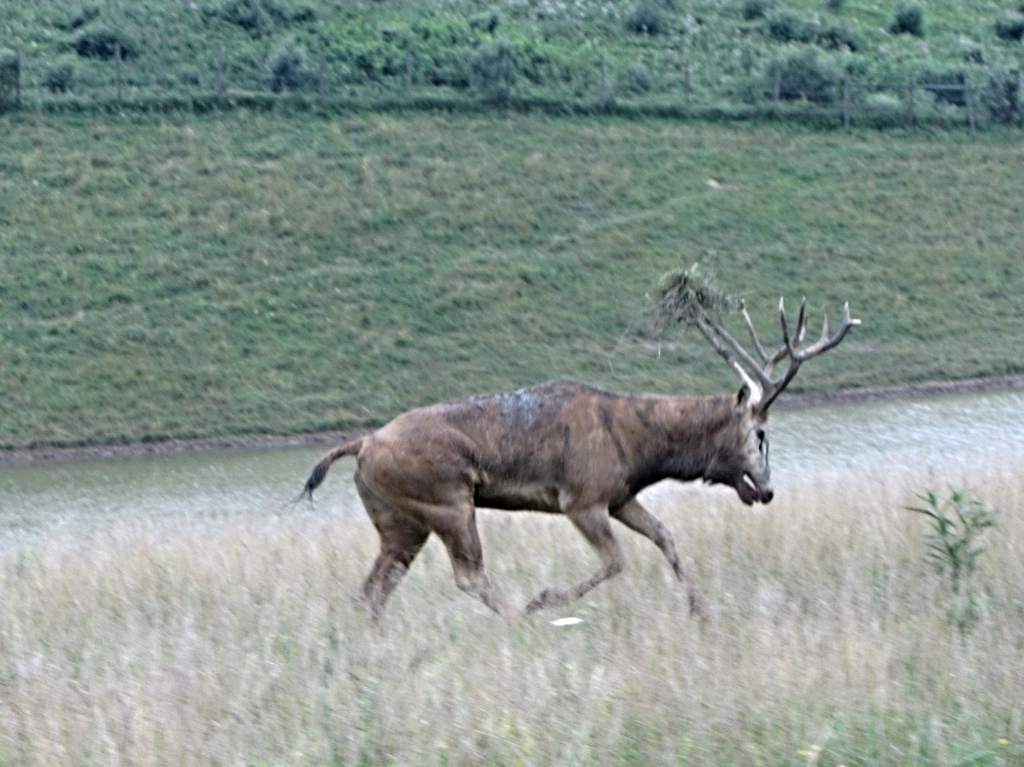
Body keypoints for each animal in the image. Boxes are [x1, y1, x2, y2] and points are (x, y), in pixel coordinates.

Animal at [301, 290, 859, 623]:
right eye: (760, 432)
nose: (768, 489)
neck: (641, 450)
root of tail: (361, 445)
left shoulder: (620, 496)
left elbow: (666, 536)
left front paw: (701, 609)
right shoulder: (582, 498)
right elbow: (617, 560)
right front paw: (545, 597)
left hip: (399, 519)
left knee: (375, 586)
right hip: (447, 500)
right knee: (467, 575)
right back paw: (518, 616)